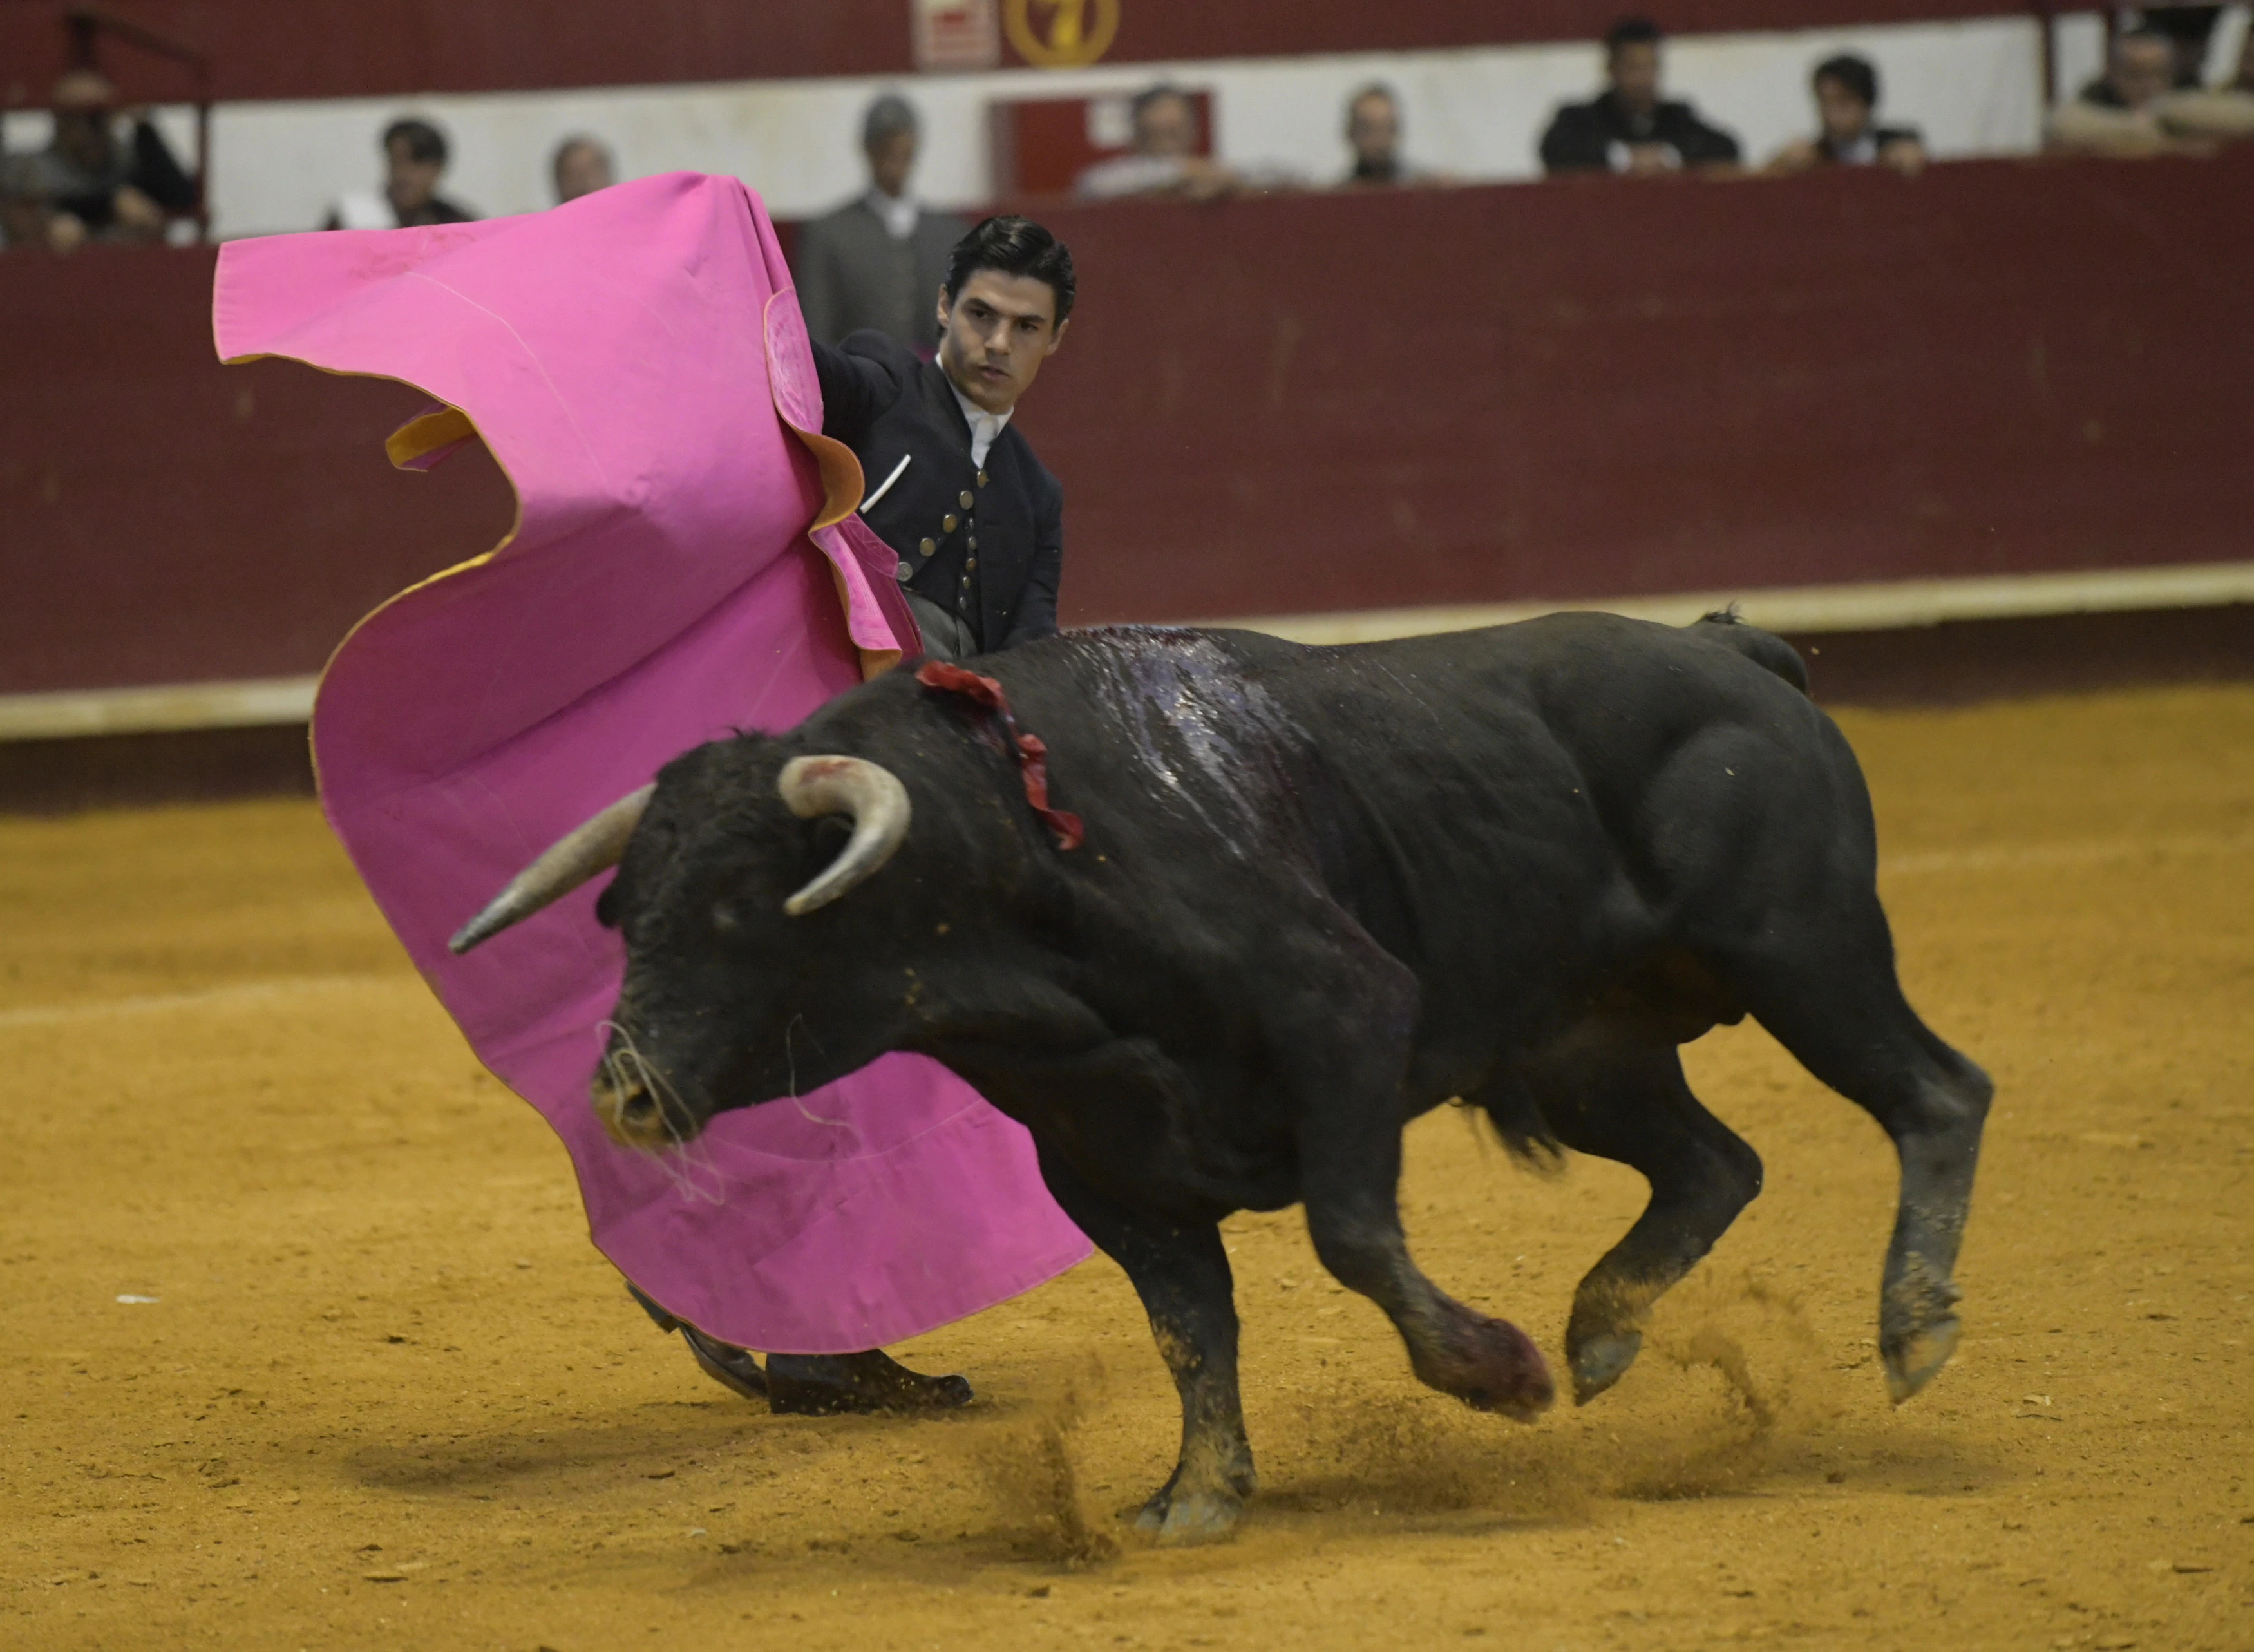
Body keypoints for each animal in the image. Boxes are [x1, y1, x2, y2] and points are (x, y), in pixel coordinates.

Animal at [453, 612, 1993, 1541]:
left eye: (732, 908)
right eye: (622, 911)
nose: (624, 1096)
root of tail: (1736, 651)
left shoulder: (1349, 1018)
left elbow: (1350, 1234)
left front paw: (1492, 1373)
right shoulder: (1104, 1164)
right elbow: (1191, 1327)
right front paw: (1193, 1500)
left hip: (1802, 951)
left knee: (1937, 1093)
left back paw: (1911, 1330)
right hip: (1584, 1049)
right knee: (1715, 1162)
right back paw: (1605, 1333)